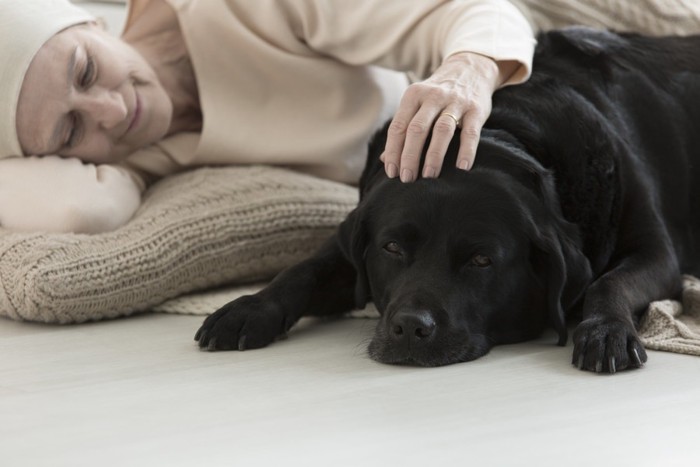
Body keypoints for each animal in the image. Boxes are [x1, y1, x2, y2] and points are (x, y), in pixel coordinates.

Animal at [194, 28, 700, 372]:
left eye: (481, 260)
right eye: (392, 248)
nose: (410, 328)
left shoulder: (657, 254)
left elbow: (608, 283)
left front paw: (606, 331)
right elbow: (305, 268)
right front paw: (248, 308)